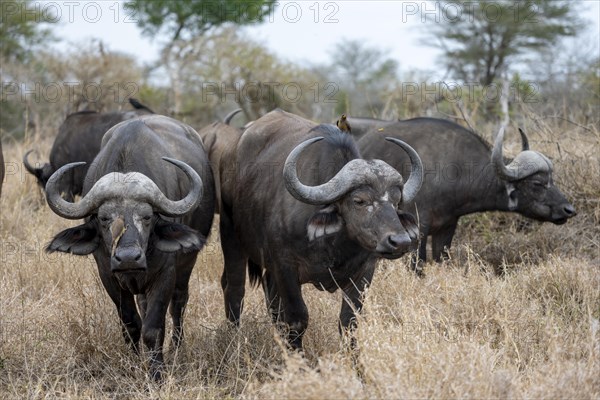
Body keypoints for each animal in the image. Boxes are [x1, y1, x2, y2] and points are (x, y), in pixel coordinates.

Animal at [45, 114, 217, 380]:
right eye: (104, 218)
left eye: (146, 217)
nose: (128, 258)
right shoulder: (108, 275)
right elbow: (131, 324)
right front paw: (135, 363)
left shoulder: (165, 274)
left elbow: (153, 328)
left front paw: (157, 372)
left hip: (187, 263)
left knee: (179, 302)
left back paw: (177, 347)